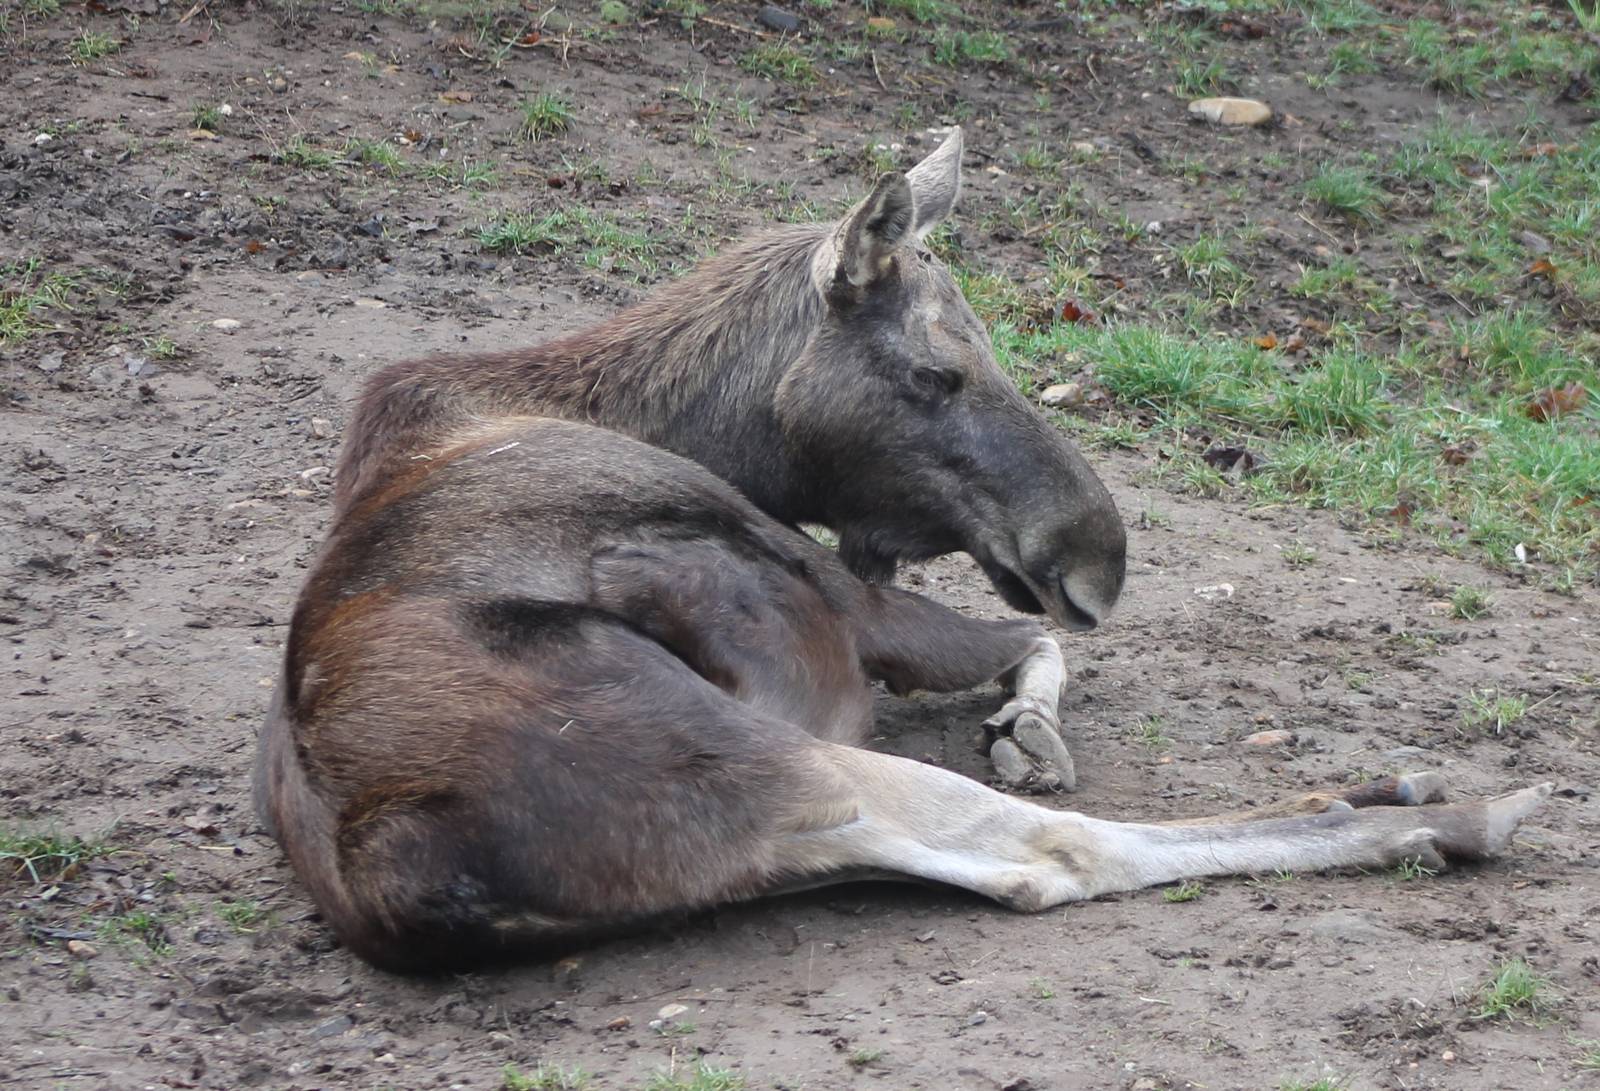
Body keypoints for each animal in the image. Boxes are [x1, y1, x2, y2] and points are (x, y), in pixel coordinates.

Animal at [254, 129, 1550, 972]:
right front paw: (1029, 725)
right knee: (1056, 851)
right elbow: (1024, 642)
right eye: (938, 371)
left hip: (790, 835)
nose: (1095, 557)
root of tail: (410, 880)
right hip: (787, 756)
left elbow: (1030, 649)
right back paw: (1437, 812)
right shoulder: (836, 587)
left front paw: (1023, 722)